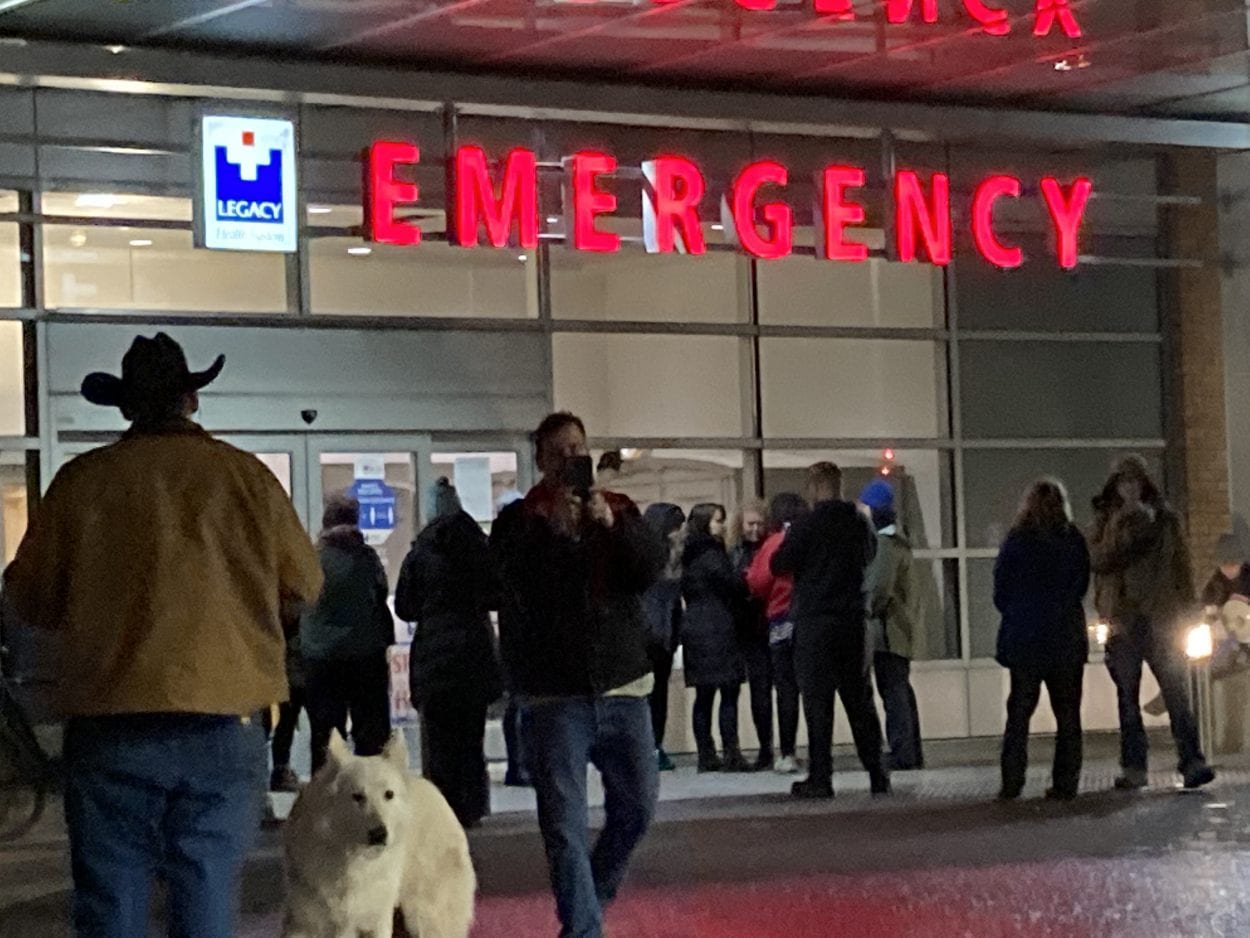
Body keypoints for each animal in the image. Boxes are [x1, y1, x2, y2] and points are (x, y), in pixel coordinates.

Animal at [281, 735, 475, 938]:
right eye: (357, 796)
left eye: (388, 794)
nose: (379, 833)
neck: (352, 862)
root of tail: (432, 788)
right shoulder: (303, 923)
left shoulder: (375, 920)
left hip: (423, 916)